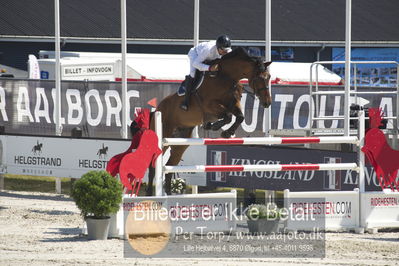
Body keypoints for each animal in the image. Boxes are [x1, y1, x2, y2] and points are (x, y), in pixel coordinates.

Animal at [148, 46, 274, 194]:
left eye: (269, 77)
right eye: (260, 78)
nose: (267, 103)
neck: (226, 77)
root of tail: (157, 109)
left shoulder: (233, 103)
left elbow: (240, 117)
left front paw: (226, 132)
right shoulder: (210, 105)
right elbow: (228, 116)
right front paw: (215, 126)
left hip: (180, 141)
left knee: (170, 164)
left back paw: (168, 194)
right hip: (164, 134)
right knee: (152, 166)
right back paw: (150, 194)